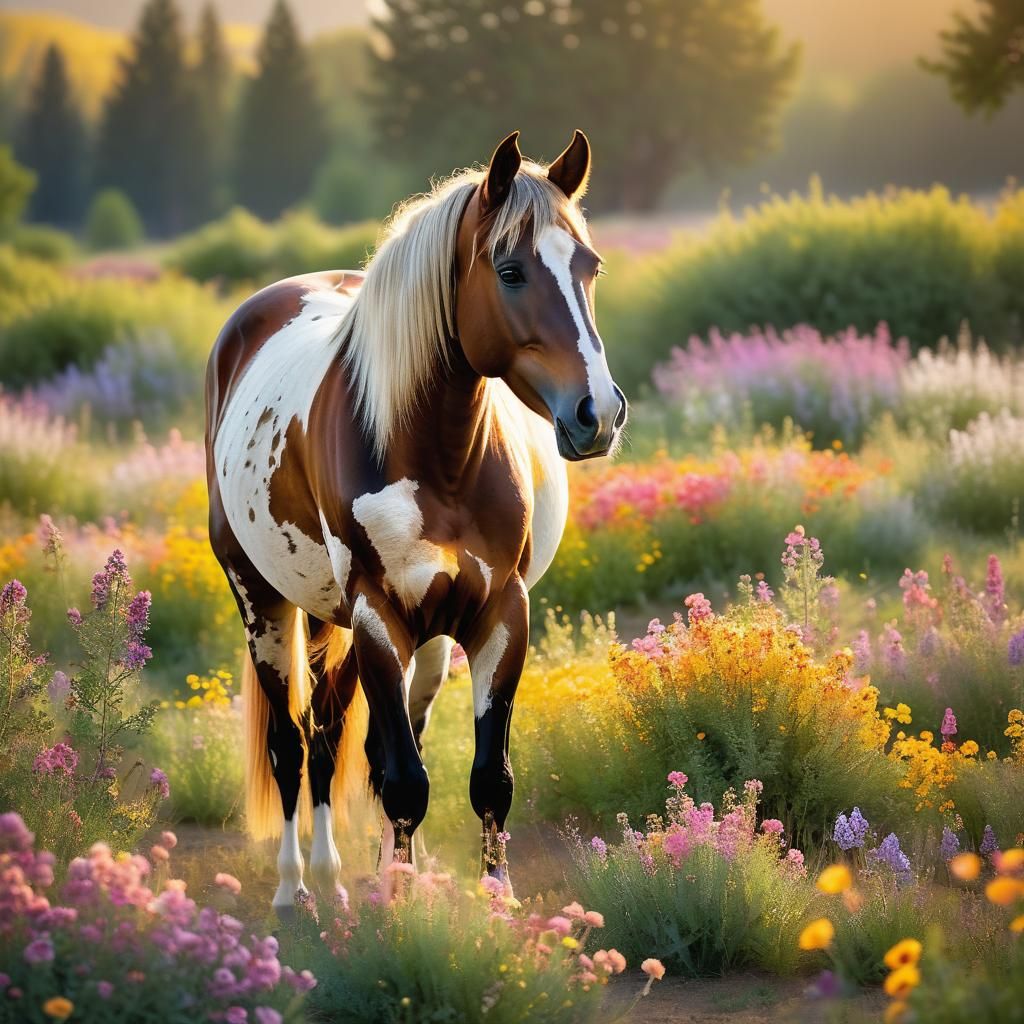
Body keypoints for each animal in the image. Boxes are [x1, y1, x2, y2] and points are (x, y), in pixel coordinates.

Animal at [205, 130, 626, 913]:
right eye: (511, 270)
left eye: (590, 266)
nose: (599, 414)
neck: (441, 456)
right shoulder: (376, 614)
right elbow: (400, 779)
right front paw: (398, 912)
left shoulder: (500, 614)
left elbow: (485, 778)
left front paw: (492, 903)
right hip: (267, 602)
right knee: (292, 746)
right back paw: (298, 888)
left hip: (394, 634)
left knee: (341, 737)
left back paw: (348, 878)